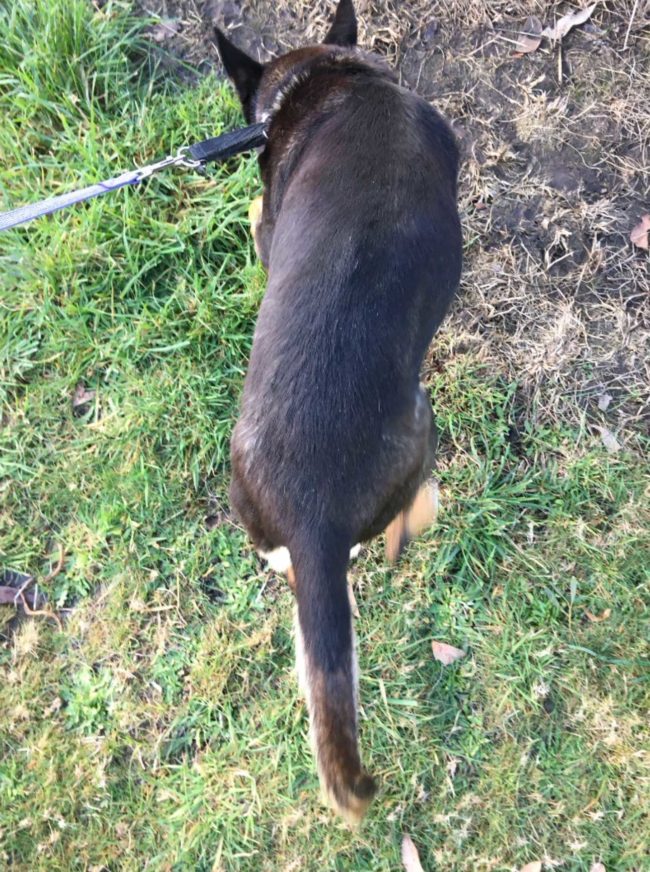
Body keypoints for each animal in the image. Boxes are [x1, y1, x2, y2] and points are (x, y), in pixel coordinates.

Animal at [216, 0, 460, 824]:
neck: (327, 78)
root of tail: (313, 515)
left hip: (247, 494)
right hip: (420, 421)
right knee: (405, 519)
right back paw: (412, 522)